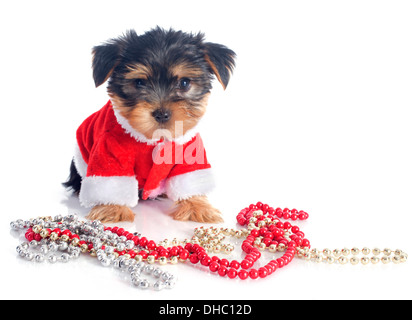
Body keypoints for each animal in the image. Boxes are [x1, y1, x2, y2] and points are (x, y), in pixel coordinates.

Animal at [65, 26, 238, 222]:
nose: (162, 114)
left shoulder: (189, 149)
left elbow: (190, 178)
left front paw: (197, 206)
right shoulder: (108, 150)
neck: (155, 137)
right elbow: (111, 180)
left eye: (184, 83)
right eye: (139, 82)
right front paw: (112, 208)